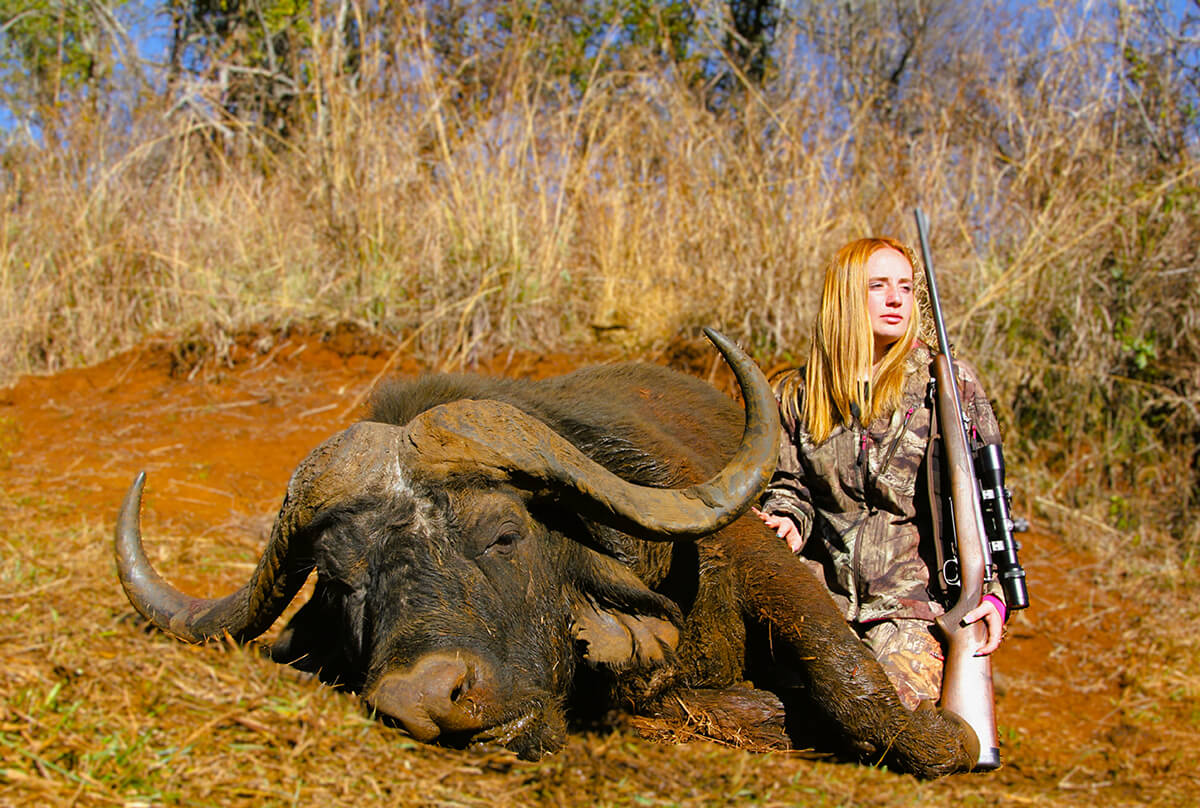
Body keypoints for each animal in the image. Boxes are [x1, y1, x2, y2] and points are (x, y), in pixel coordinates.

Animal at [115, 329, 982, 776]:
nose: (425, 698)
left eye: (503, 534)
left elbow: (840, 665)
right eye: (343, 581)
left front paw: (939, 737)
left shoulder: (753, 556)